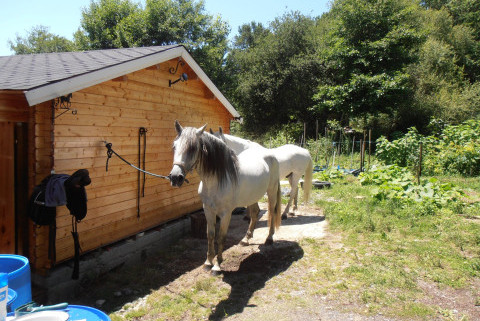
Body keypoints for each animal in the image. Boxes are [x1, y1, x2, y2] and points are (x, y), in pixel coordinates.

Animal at [170, 120, 284, 272]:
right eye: (174, 146)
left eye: (193, 148)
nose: (175, 177)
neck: (215, 181)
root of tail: (269, 154)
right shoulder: (208, 210)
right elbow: (210, 235)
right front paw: (208, 262)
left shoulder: (226, 213)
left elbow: (221, 237)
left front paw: (217, 265)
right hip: (252, 196)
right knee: (255, 212)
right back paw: (245, 239)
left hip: (271, 192)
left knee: (271, 212)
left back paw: (269, 239)